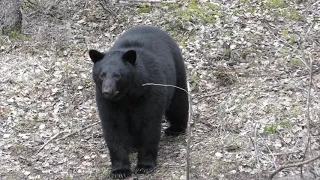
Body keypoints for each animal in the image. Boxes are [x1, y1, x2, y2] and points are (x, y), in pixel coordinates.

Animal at [89, 25, 189, 179]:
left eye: (118, 76)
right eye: (101, 75)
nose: (107, 91)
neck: (127, 96)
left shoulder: (150, 93)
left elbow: (149, 125)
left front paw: (144, 166)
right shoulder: (107, 103)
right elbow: (114, 128)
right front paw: (120, 170)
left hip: (177, 71)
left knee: (178, 103)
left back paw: (175, 129)